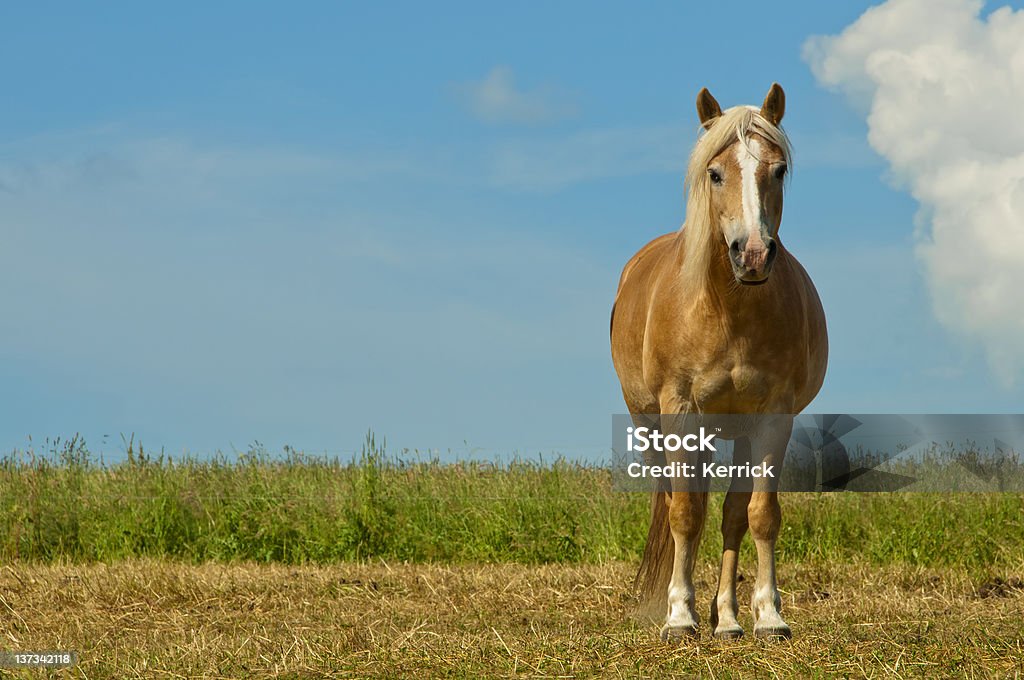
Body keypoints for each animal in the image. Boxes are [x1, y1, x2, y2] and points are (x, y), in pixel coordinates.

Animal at [610, 85, 827, 643]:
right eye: (715, 173)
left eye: (778, 170)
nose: (751, 254)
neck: (728, 310)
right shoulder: (680, 411)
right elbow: (685, 513)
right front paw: (679, 616)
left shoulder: (773, 415)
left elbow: (759, 513)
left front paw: (768, 615)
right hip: (655, 424)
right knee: (675, 503)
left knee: (731, 513)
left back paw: (727, 618)